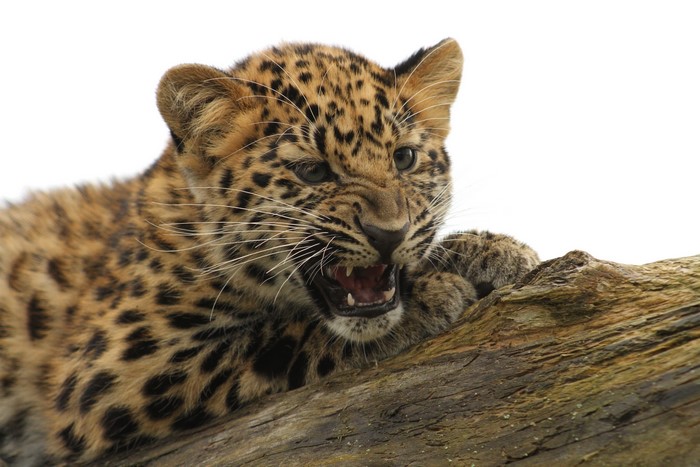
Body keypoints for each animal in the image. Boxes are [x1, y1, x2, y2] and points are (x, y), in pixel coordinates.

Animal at [0, 38, 539, 465]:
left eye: (404, 159)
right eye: (313, 172)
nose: (390, 233)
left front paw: (486, 252)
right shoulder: (112, 370)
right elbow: (274, 339)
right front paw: (430, 297)